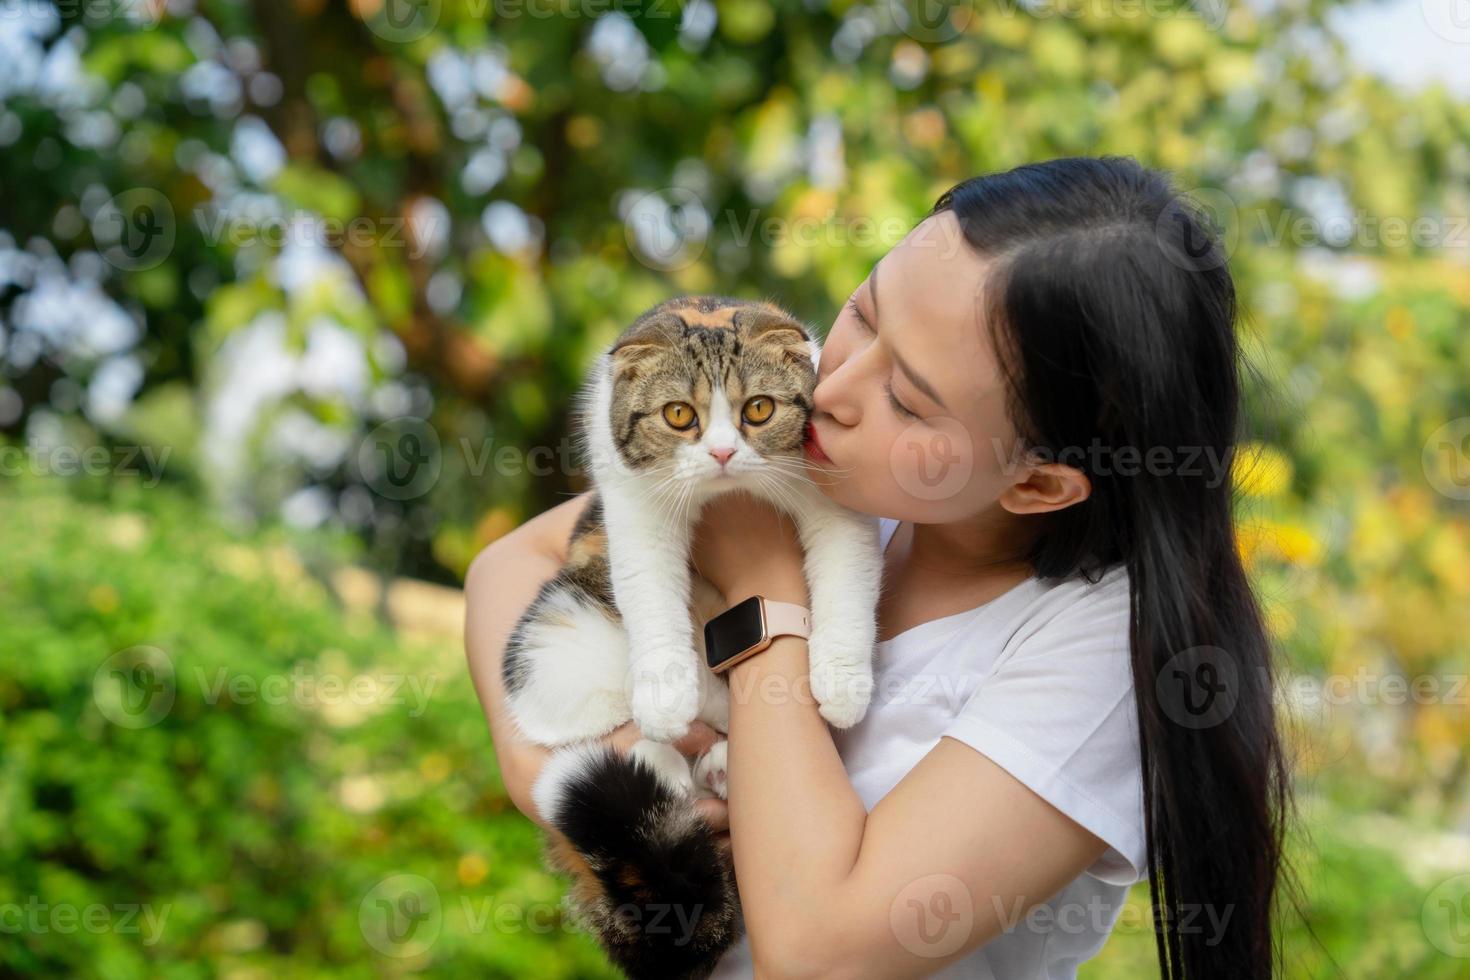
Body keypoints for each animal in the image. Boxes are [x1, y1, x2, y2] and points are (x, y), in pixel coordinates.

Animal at [499, 295, 882, 975]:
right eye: (679, 415)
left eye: (759, 409)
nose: (724, 454)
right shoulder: (634, 506)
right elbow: (651, 594)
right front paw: (666, 696)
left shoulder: (840, 502)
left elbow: (847, 577)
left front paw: (841, 685)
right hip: (554, 643)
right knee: (569, 738)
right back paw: (669, 756)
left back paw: (719, 763)